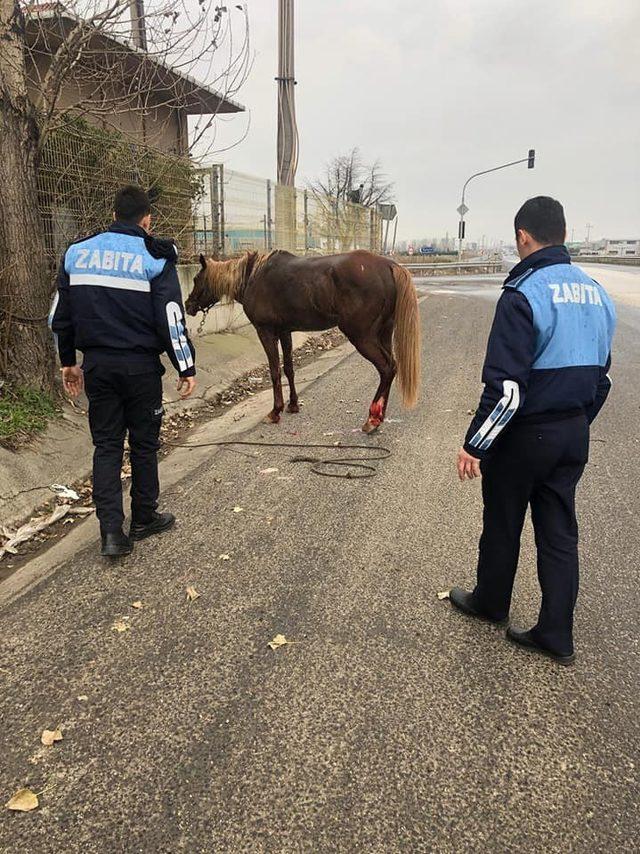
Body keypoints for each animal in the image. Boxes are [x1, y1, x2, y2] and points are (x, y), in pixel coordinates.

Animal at [185, 249, 420, 434]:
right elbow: (289, 368)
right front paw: (293, 405)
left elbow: (274, 371)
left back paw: (372, 419)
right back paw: (378, 417)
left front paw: (275, 411)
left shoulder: (266, 332)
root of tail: (388, 265)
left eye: (196, 279)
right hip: (383, 334)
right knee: (391, 368)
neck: (254, 277)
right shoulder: (285, 332)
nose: (188, 305)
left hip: (362, 337)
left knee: (387, 368)